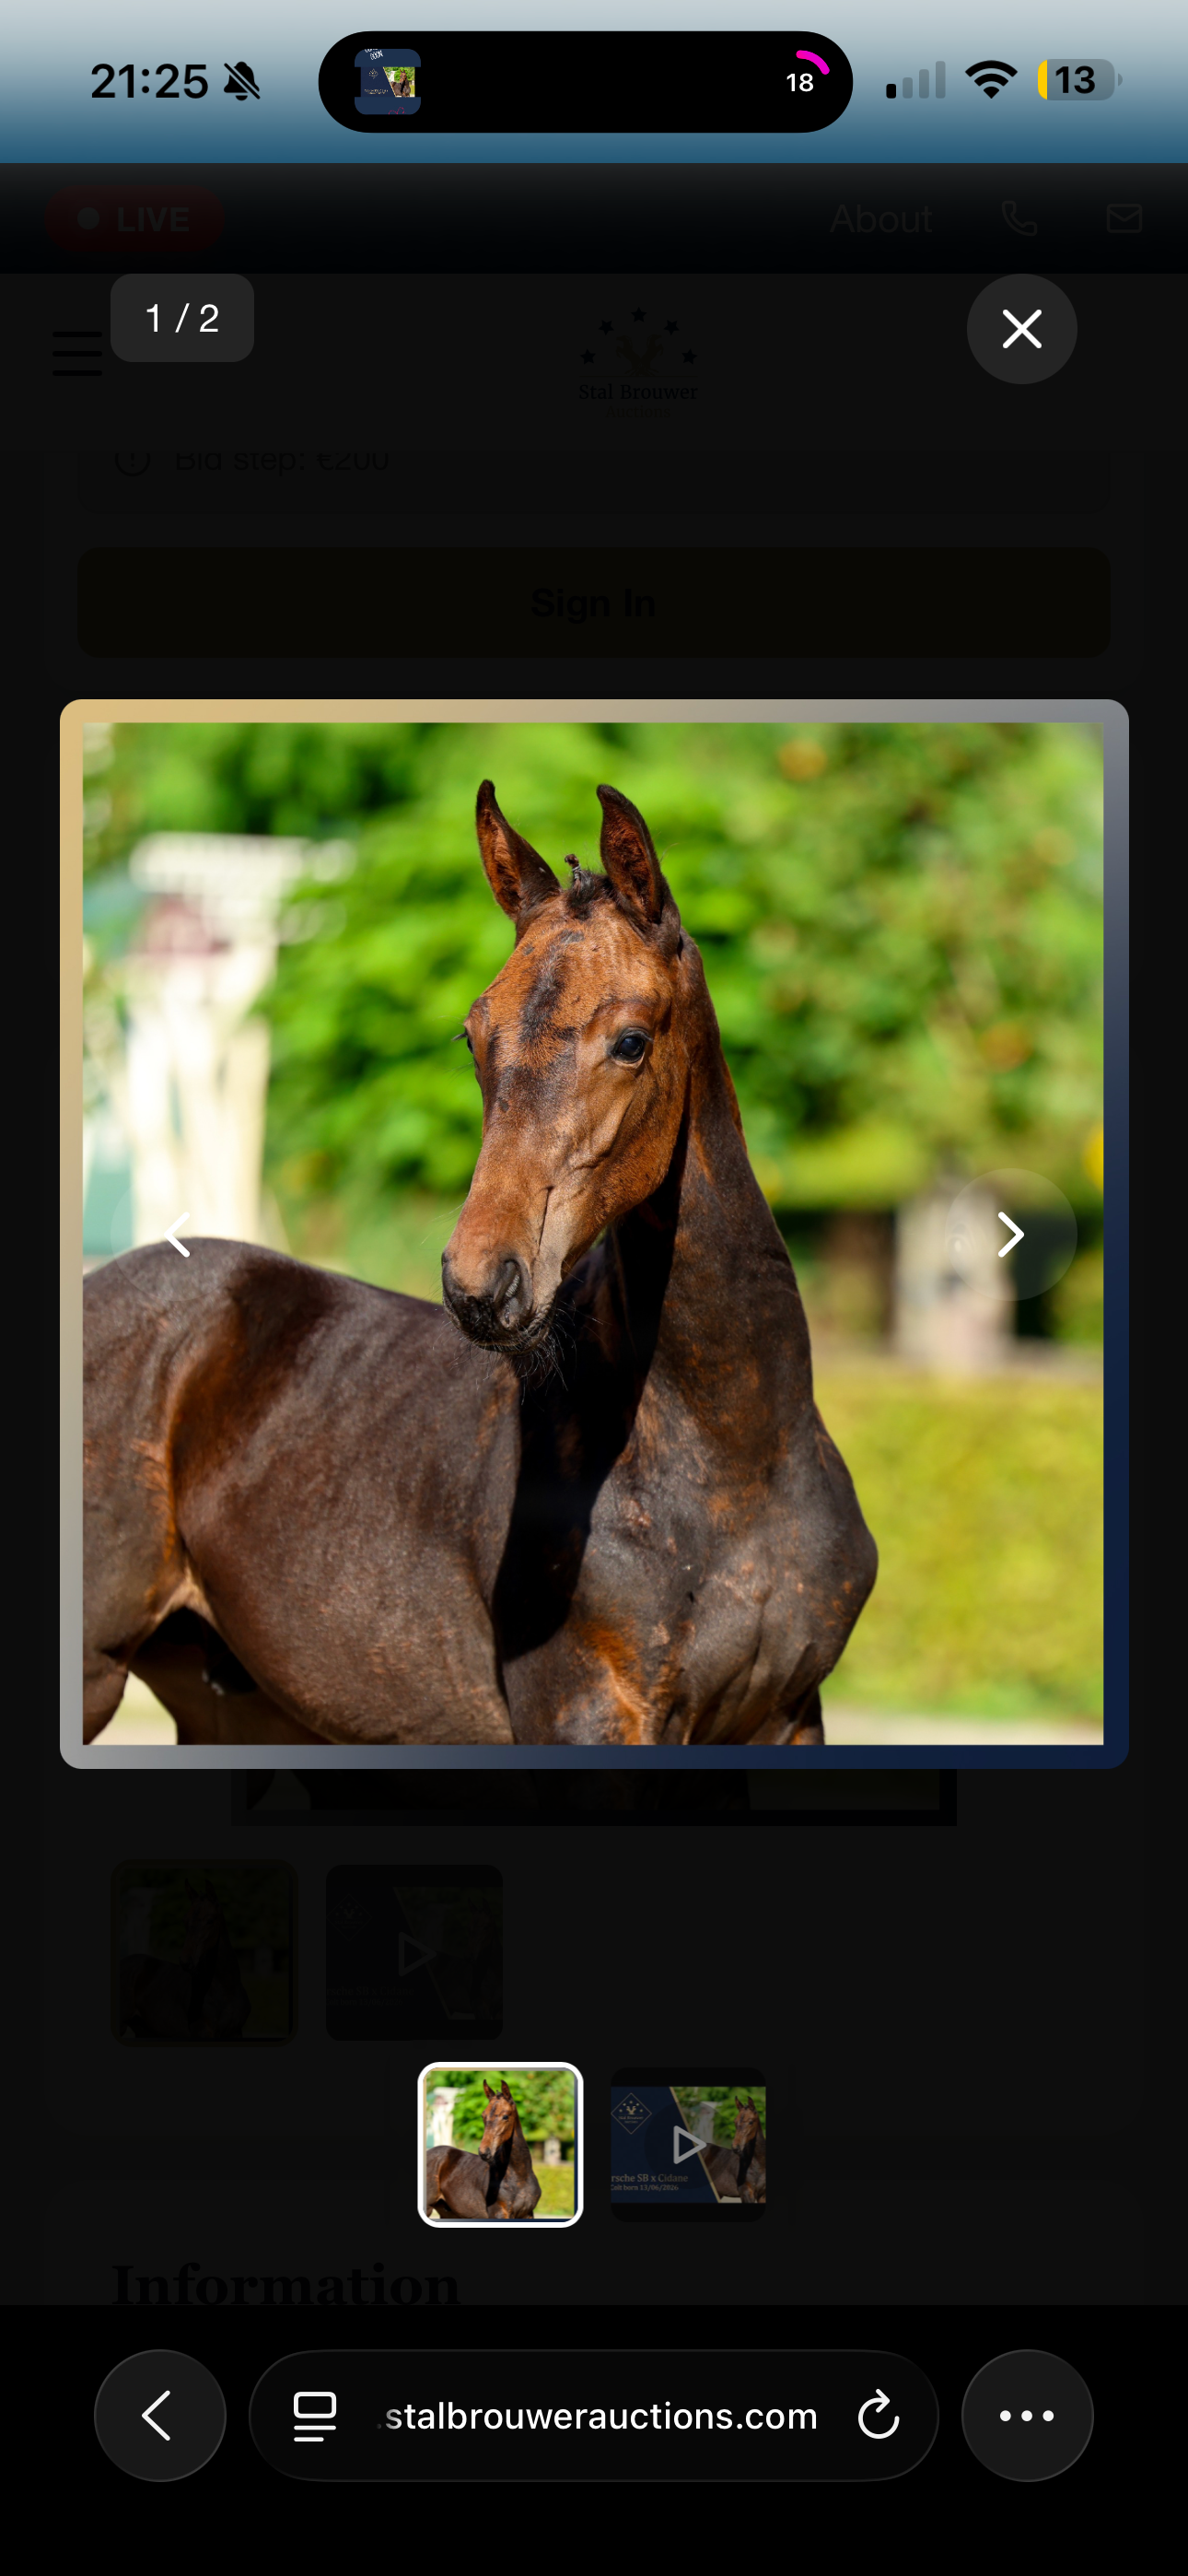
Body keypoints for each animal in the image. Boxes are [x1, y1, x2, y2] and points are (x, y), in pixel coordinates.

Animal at [82, 779, 877, 1748]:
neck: (737, 1464)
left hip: (228, 1704)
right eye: (472, 1036)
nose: (479, 1286)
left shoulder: (789, 1716)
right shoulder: (585, 1716)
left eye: (631, 1041)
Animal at [425, 2077, 542, 2220]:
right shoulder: (499, 2214)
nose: (484, 2152)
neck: (520, 2177)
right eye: (483, 2116)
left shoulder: (527, 2214)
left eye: (505, 2116)